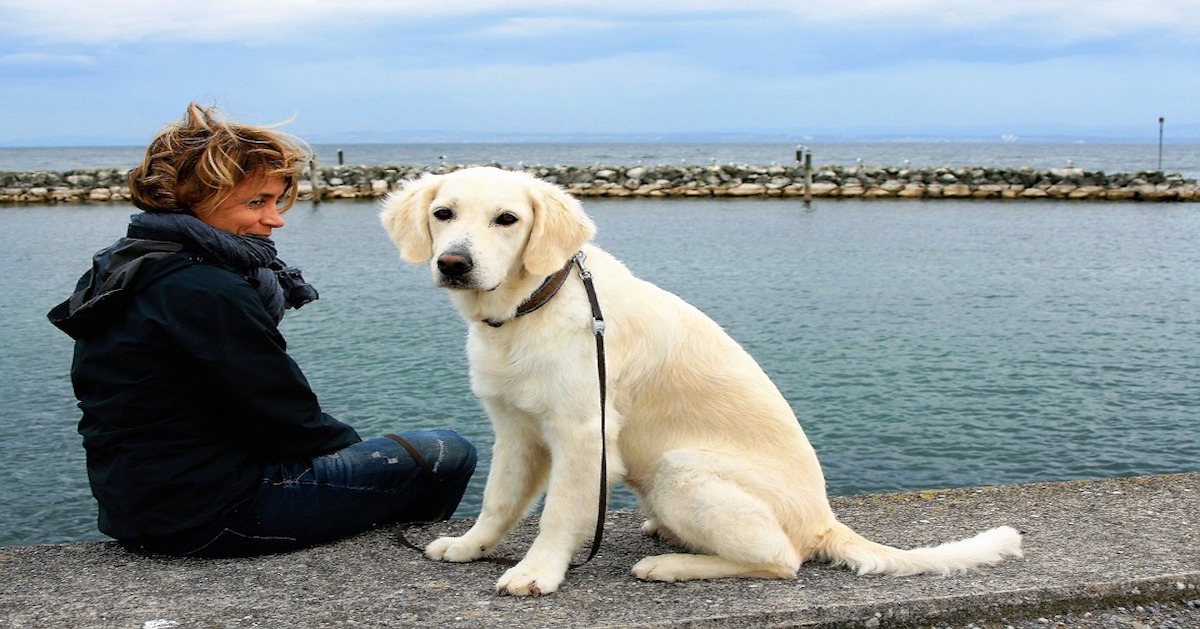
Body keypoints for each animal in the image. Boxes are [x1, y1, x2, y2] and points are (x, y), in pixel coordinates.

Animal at [376, 165, 1022, 595]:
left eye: (507, 220)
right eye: (443, 214)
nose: (453, 263)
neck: (531, 307)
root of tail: (824, 521)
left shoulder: (584, 433)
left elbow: (558, 512)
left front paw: (536, 572)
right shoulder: (515, 429)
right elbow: (498, 501)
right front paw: (469, 547)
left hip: (680, 467)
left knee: (781, 560)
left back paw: (672, 566)